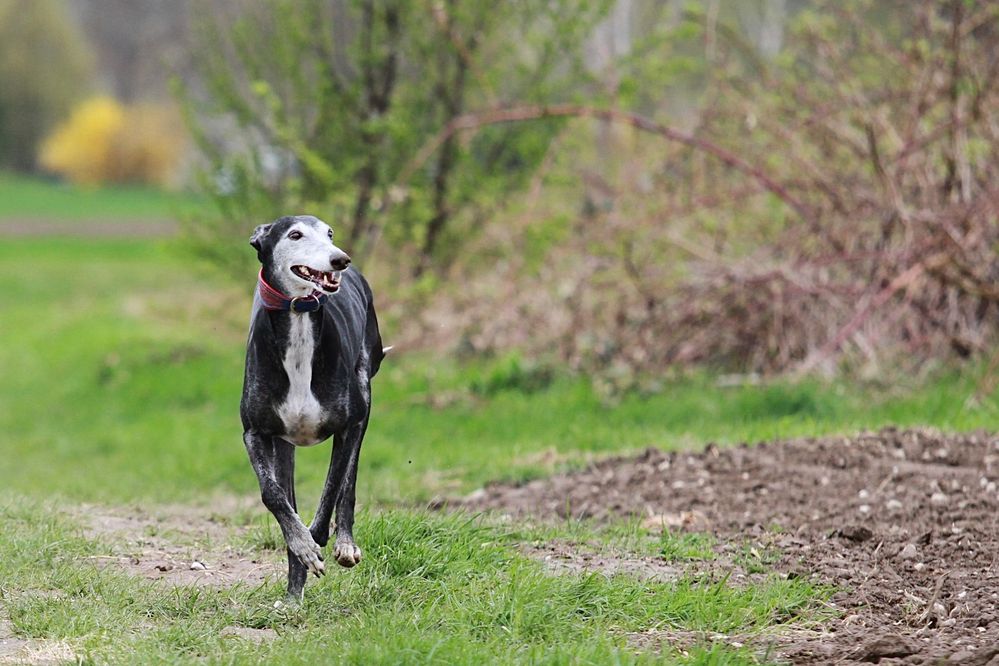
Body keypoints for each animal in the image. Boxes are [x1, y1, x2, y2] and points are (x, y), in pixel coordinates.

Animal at [240, 215, 384, 600]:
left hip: (364, 398)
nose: (340, 259)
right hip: (283, 445)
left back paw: (343, 543)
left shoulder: (348, 426)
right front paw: (302, 547)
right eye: (295, 234)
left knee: (349, 482)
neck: (300, 318)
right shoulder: (255, 432)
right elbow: (273, 495)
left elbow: (334, 486)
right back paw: (295, 590)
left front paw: (316, 538)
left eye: (329, 233)